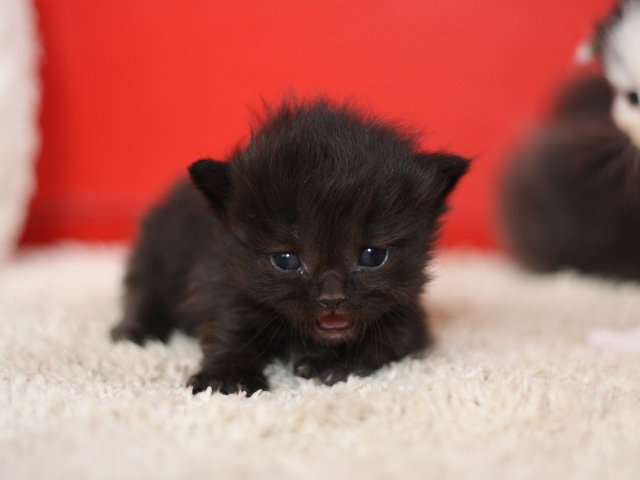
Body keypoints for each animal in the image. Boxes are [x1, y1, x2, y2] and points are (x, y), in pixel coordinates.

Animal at [110, 96, 470, 394]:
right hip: (154, 255)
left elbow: (385, 343)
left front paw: (332, 364)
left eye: (372, 255)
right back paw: (134, 331)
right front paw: (227, 377)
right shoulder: (219, 279)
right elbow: (228, 329)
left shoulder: (407, 316)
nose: (332, 298)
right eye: (286, 260)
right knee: (143, 292)